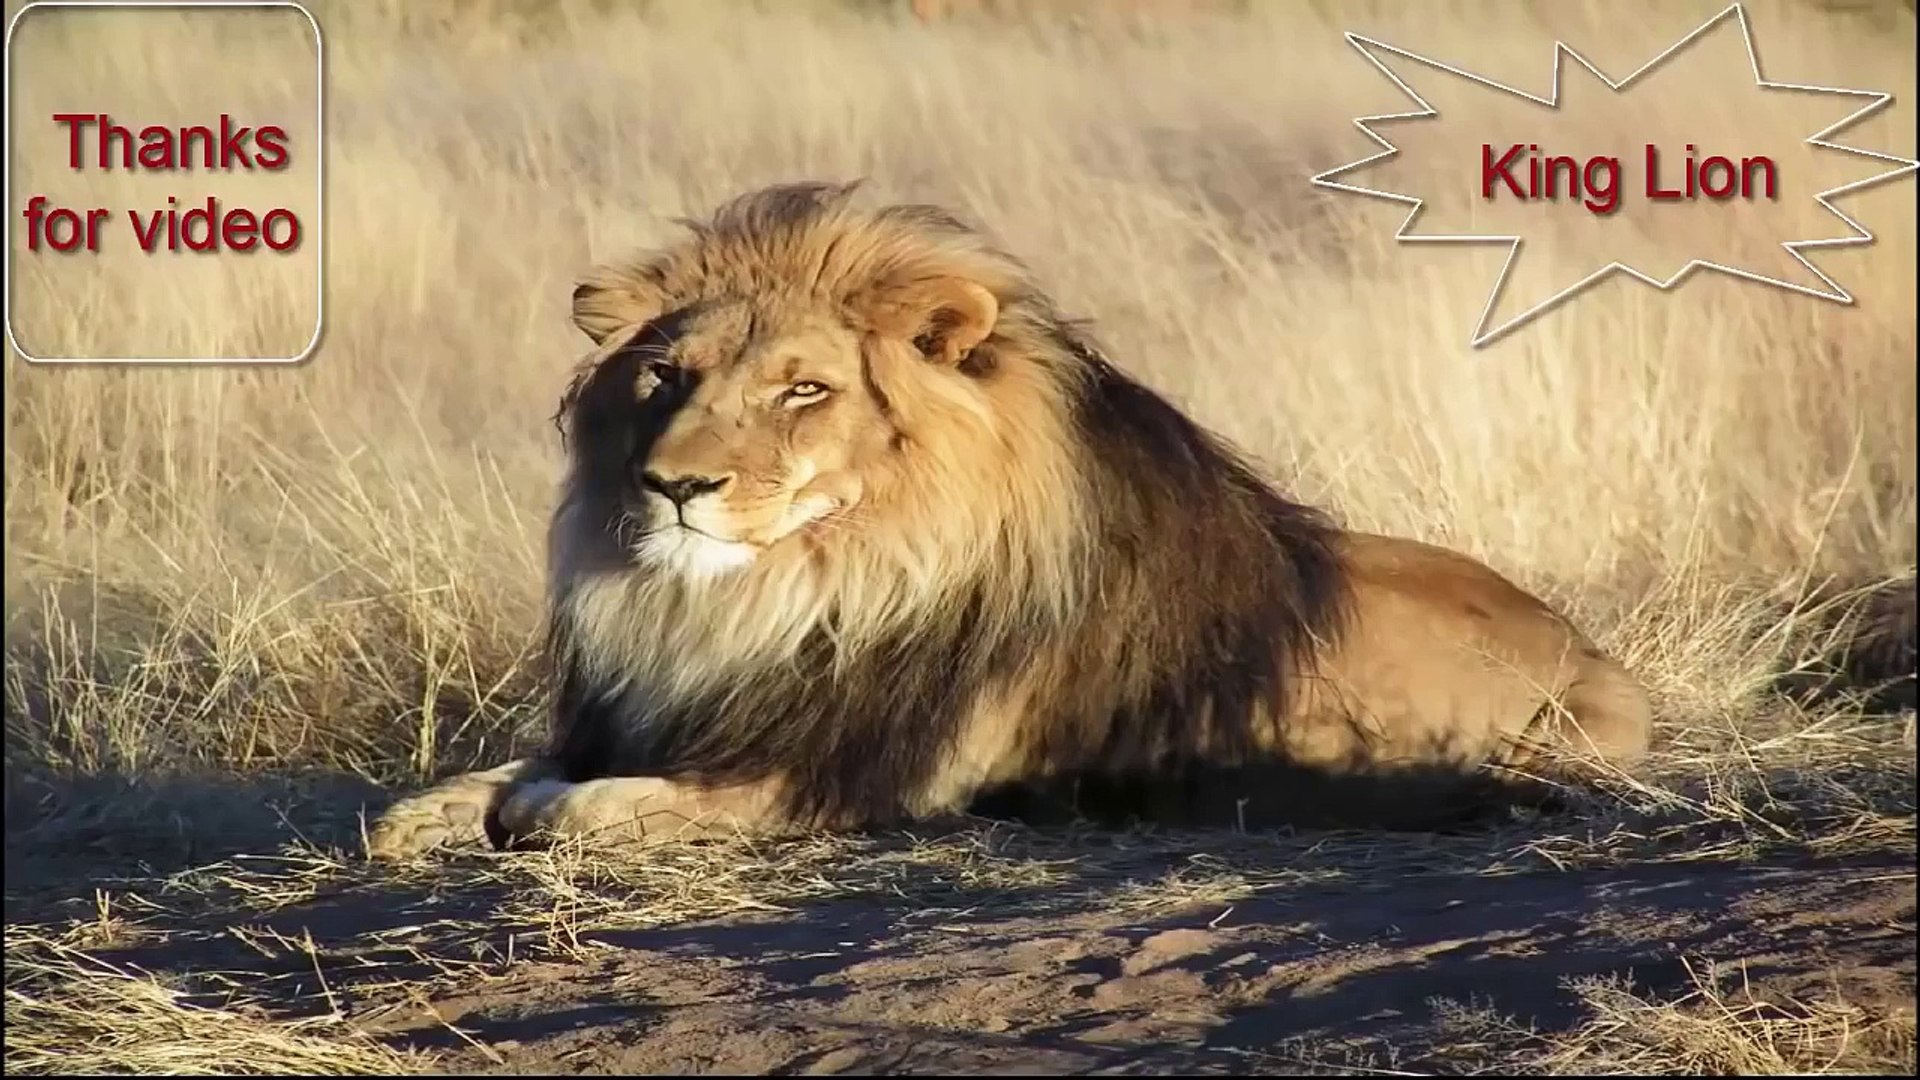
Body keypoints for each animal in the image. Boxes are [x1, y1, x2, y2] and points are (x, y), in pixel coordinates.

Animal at [366, 181, 1652, 860]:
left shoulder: (853, 779)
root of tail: (1595, 654)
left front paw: (545, 810)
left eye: (803, 391)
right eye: (665, 378)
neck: (796, 591)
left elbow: (594, 806)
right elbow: (470, 789)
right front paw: (433, 812)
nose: (672, 486)